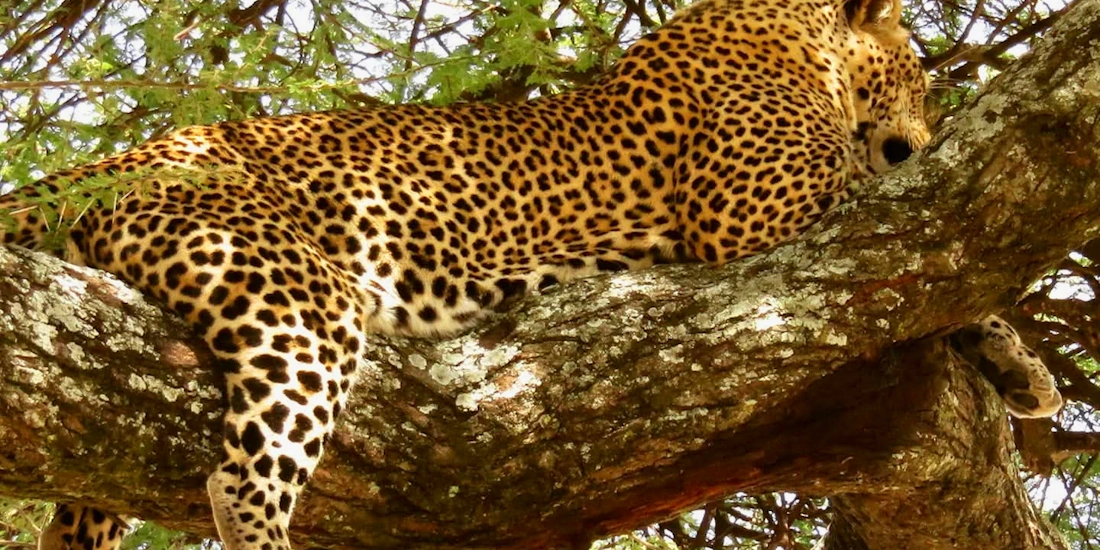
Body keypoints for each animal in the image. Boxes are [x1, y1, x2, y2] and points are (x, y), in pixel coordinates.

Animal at [0, 0, 1062, 548]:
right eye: (920, 68)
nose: (930, 127)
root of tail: (109, 161)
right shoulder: (757, 216)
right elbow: (919, 245)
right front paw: (1018, 355)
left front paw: (1016, 370)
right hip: (294, 297)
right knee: (241, 482)